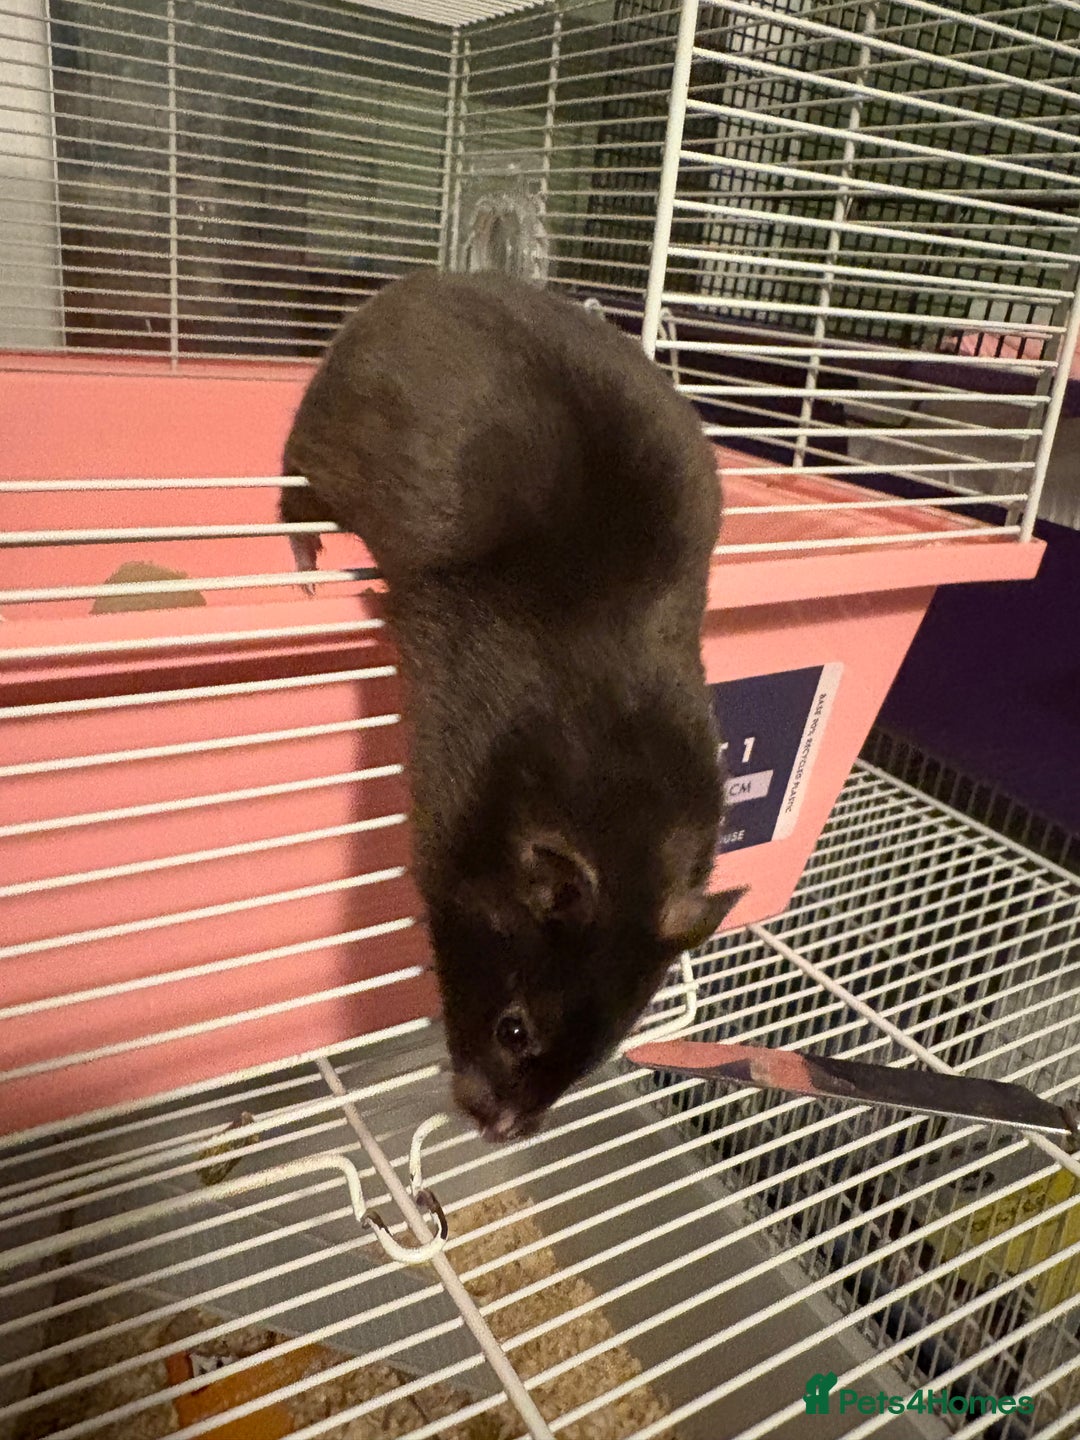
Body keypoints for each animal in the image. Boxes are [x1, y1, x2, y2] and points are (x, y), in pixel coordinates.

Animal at [281, 270, 742, 1142]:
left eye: (612, 1042)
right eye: (514, 1030)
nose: (498, 1132)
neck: (624, 819)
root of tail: (412, 285)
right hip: (319, 447)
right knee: (288, 491)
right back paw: (308, 567)